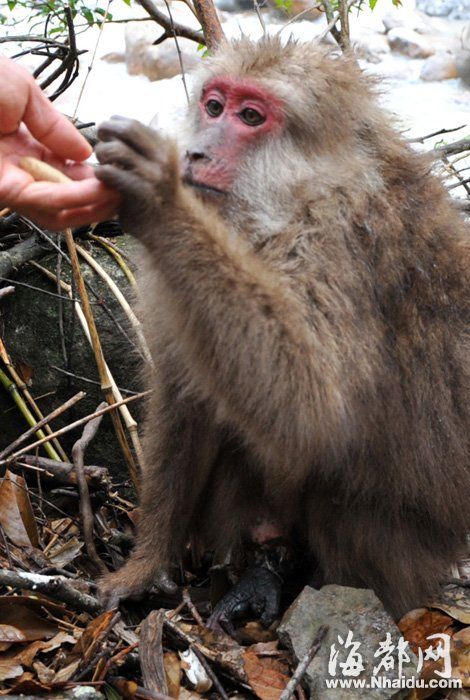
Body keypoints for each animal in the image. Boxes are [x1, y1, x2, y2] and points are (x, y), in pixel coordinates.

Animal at [95, 37, 470, 624]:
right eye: (214, 106)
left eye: (251, 117)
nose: (196, 153)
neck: (290, 198)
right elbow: (187, 400)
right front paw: (146, 564)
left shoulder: (336, 244)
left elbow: (313, 406)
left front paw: (160, 200)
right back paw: (264, 569)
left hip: (411, 548)